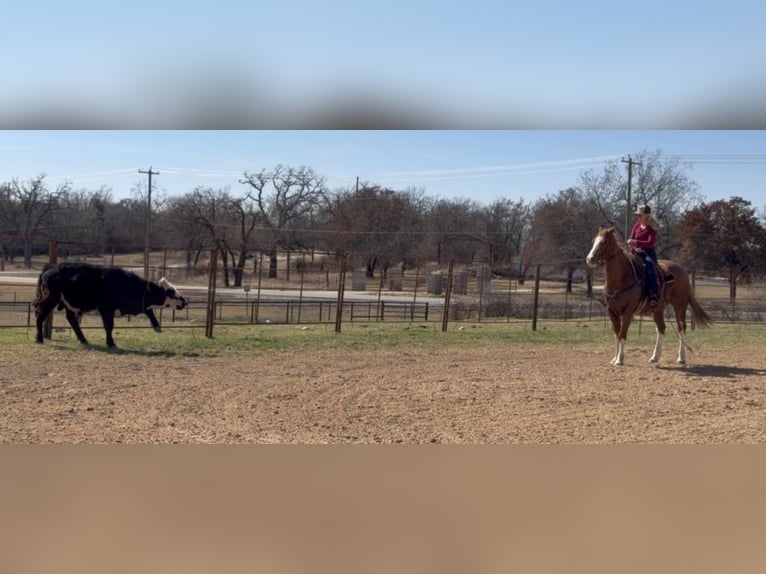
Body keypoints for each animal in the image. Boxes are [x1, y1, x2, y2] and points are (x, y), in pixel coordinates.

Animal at [585, 226, 713, 366]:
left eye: (603, 242)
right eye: (593, 241)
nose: (589, 259)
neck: (621, 277)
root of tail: (683, 272)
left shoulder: (628, 311)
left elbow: (622, 334)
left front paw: (619, 360)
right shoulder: (612, 311)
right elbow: (616, 334)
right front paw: (615, 358)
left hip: (680, 306)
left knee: (681, 328)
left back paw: (681, 357)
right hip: (658, 309)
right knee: (661, 328)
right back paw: (655, 357)